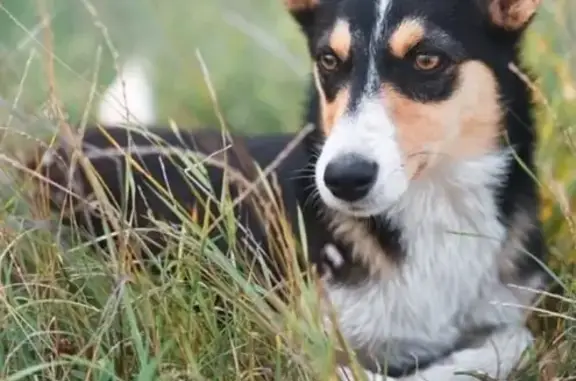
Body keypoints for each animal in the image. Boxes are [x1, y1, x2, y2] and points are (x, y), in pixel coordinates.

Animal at [22, 0, 552, 378]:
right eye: (329, 60)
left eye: (426, 59)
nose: (343, 178)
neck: (431, 208)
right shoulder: (289, 331)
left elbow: (515, 339)